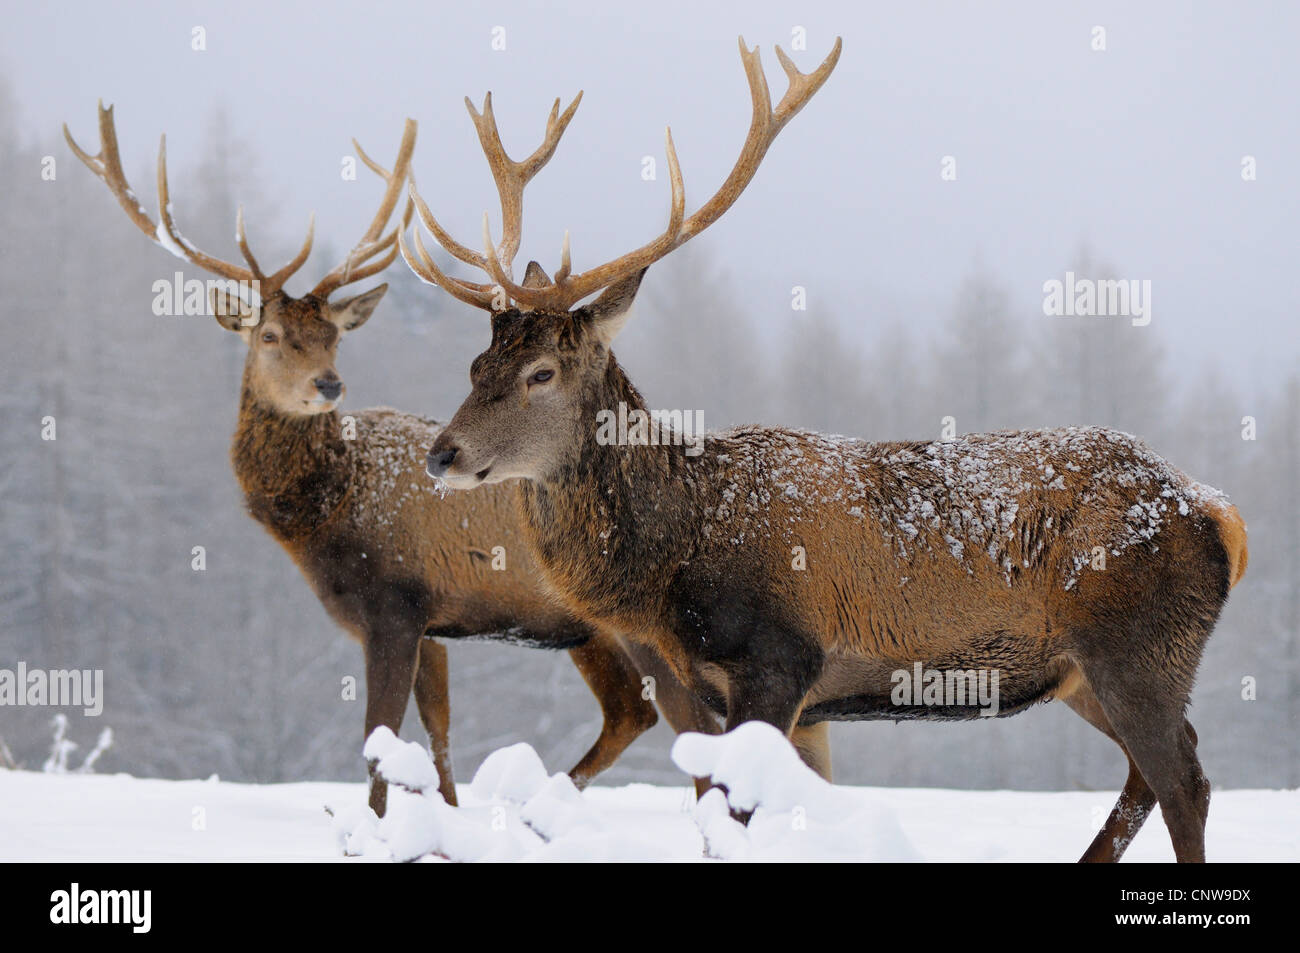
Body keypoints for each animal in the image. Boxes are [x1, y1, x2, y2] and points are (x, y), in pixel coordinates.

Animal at [63, 104, 743, 816]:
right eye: (269, 336)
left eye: (333, 336)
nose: (328, 384)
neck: (329, 509)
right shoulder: (434, 625)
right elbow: (437, 731)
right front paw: (447, 813)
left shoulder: (393, 604)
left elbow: (378, 738)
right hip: (592, 633)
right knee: (634, 715)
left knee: (686, 723)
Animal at [405, 37, 1248, 858]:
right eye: (477, 364)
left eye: (541, 372)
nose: (442, 453)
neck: (673, 561)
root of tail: (1220, 514)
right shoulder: (751, 695)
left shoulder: (779, 660)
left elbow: (736, 821)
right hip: (1087, 673)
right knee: (1148, 778)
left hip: (1140, 647)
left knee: (1186, 782)